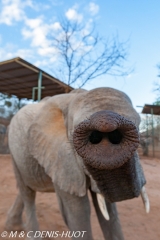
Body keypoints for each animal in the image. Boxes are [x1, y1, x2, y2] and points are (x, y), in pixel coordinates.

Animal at [5, 87, 149, 239]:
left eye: (139, 124)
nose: (106, 120)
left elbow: (109, 212)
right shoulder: (61, 158)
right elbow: (78, 211)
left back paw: (15, 227)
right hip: (14, 151)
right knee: (27, 192)